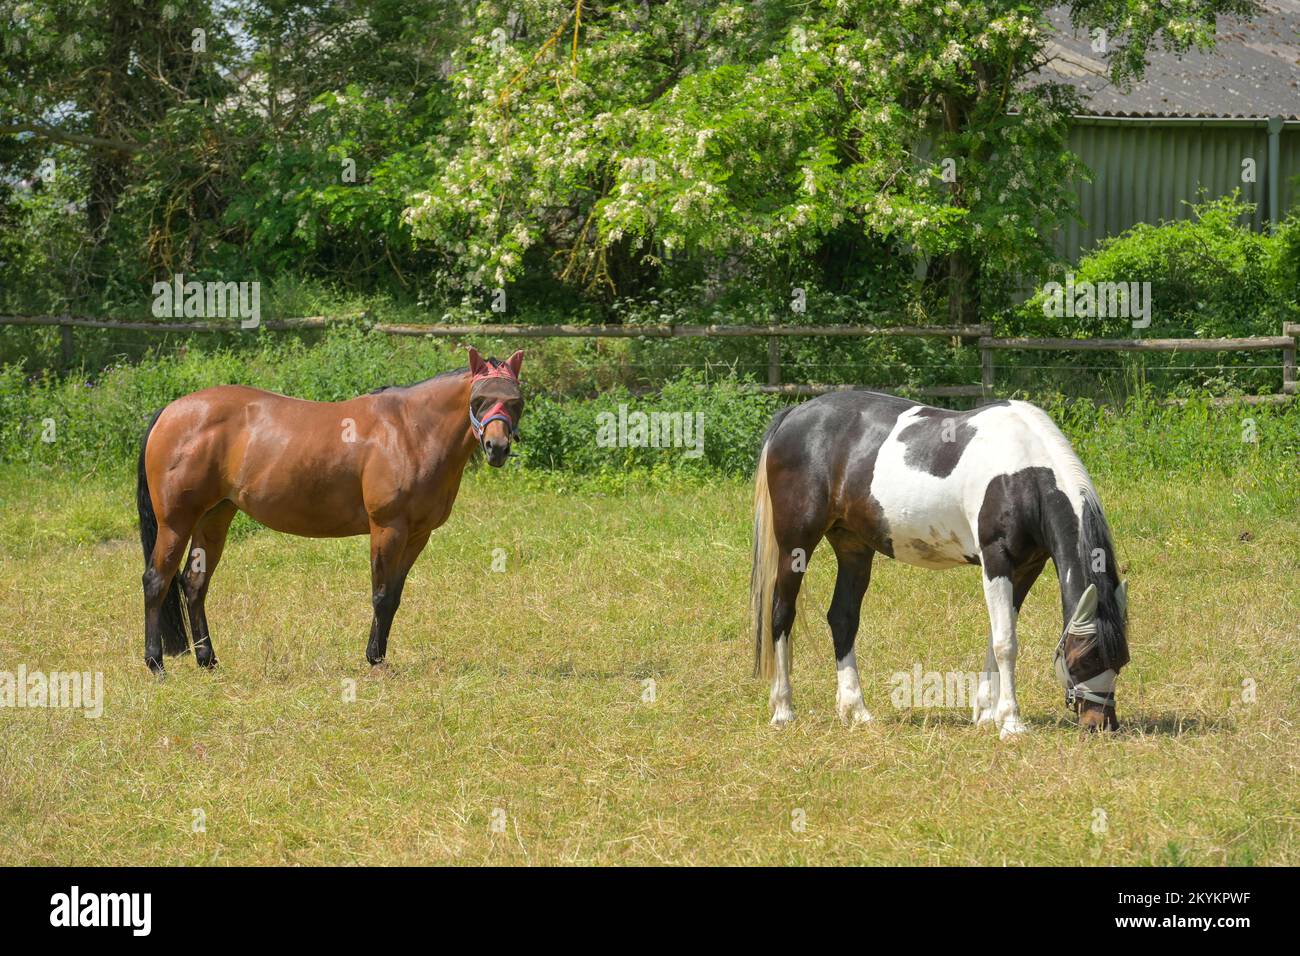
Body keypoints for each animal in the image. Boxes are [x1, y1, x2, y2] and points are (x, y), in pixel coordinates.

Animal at [137, 348, 522, 676]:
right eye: (479, 400)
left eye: (516, 401)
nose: (497, 447)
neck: (410, 431)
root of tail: (170, 411)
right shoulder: (388, 528)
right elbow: (381, 595)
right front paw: (375, 660)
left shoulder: (417, 535)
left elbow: (394, 597)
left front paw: (379, 655)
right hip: (176, 522)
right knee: (156, 581)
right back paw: (156, 664)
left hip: (214, 517)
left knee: (194, 584)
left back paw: (208, 660)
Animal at [754, 392, 1128, 738]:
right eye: (1087, 658)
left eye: (1122, 660)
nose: (1102, 725)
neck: (1023, 473)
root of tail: (794, 414)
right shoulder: (997, 560)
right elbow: (1006, 643)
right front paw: (1010, 722)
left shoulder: (1026, 568)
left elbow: (997, 634)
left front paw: (986, 713)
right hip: (795, 545)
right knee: (781, 614)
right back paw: (783, 709)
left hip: (853, 548)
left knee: (843, 618)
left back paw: (856, 710)